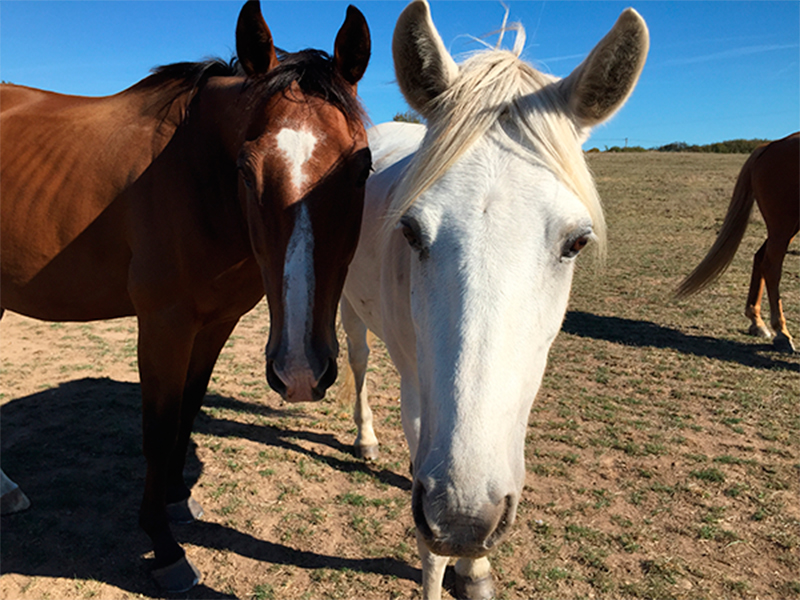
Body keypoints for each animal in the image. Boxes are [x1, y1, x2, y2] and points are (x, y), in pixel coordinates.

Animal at [0, 0, 374, 592]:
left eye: (361, 168)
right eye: (245, 169)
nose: (300, 371)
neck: (194, 176)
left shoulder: (215, 322)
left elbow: (189, 408)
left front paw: (177, 498)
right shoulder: (164, 324)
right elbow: (158, 428)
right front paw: (165, 547)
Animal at [340, 2, 648, 596]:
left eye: (577, 242)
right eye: (410, 231)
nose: (463, 518)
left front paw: (476, 568)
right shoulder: (427, 431)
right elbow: (429, 547)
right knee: (360, 362)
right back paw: (365, 440)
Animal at [680, 134, 796, 354]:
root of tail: (771, 145)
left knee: (761, 257)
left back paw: (757, 322)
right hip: (784, 225)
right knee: (771, 266)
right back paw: (781, 333)